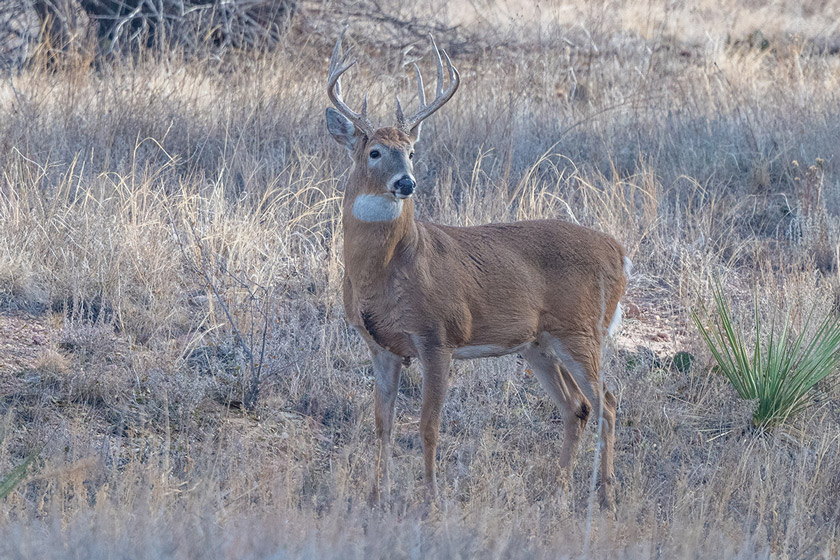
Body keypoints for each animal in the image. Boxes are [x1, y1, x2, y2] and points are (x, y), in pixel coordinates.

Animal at [326, 32, 632, 510]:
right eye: (374, 151)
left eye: (411, 151)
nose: (406, 182)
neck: (388, 271)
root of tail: (619, 252)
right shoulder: (380, 346)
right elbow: (382, 423)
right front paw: (376, 496)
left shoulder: (437, 335)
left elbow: (428, 425)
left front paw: (430, 499)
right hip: (538, 343)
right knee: (578, 407)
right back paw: (556, 489)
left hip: (582, 329)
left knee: (609, 403)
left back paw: (605, 497)